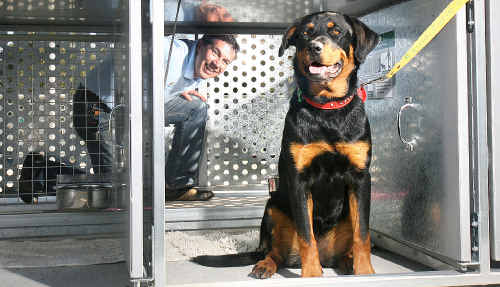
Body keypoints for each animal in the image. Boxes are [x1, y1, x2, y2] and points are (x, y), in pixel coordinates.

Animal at [250, 12, 378, 280]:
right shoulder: (299, 179)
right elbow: (306, 235)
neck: (327, 108)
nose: (314, 47)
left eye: (336, 31)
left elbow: (362, 234)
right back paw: (266, 265)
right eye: (305, 34)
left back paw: (348, 262)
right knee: (277, 251)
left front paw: (365, 272)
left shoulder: (360, 178)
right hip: (273, 207)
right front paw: (311, 275)